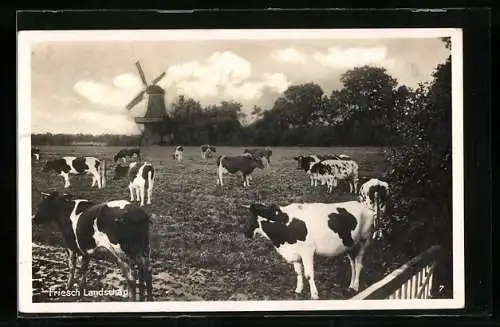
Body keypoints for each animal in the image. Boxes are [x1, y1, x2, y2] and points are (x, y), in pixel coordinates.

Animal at [240, 197, 384, 300]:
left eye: (252, 217)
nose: (245, 232)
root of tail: (366, 208)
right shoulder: (295, 253)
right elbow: (298, 273)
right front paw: (298, 290)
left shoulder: (307, 251)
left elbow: (309, 274)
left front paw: (314, 295)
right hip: (349, 245)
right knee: (353, 265)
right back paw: (351, 286)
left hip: (363, 241)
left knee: (359, 264)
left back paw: (356, 286)